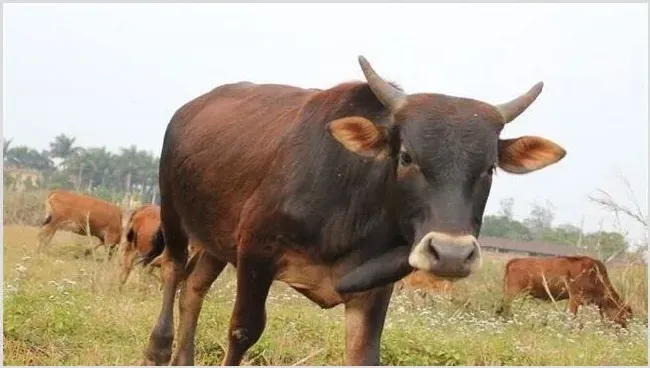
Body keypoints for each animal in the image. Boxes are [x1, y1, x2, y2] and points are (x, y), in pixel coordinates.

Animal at [140, 55, 560, 366]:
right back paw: (158, 349)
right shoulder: (256, 252)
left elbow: (364, 353)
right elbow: (243, 330)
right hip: (173, 211)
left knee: (194, 287)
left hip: (217, 240)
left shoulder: (375, 286)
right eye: (406, 156)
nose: (452, 254)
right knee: (173, 269)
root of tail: (190, 108)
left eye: (489, 168)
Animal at [494, 256, 632, 328]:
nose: (625, 330)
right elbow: (571, 316)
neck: (596, 274)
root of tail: (515, 260)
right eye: (624, 316)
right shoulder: (575, 299)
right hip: (513, 294)